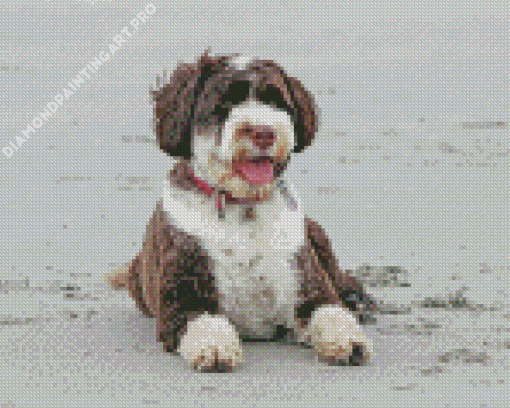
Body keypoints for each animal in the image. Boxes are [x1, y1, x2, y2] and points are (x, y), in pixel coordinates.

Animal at [105, 51, 376, 372]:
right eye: (225, 104)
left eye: (277, 102)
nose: (263, 132)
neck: (241, 205)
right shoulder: (182, 299)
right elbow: (204, 321)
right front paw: (215, 348)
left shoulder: (309, 287)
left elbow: (332, 313)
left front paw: (348, 340)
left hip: (316, 232)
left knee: (342, 278)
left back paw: (358, 300)